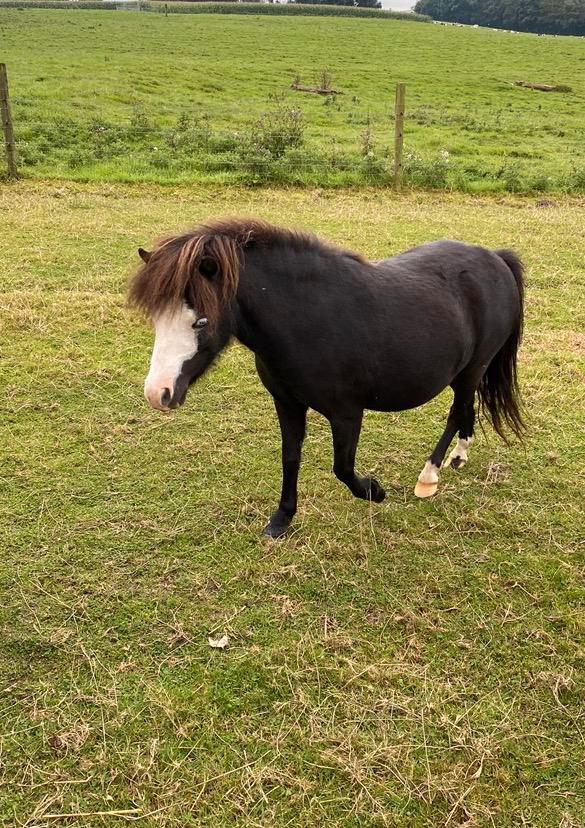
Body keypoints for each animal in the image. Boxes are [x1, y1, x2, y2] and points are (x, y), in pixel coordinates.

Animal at [128, 218, 525, 538]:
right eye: (156, 317)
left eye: (201, 321)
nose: (157, 393)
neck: (308, 318)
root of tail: (495, 258)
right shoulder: (287, 404)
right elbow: (291, 457)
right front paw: (282, 519)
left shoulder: (347, 413)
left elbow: (343, 469)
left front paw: (374, 491)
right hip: (465, 373)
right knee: (467, 408)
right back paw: (458, 456)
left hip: (472, 369)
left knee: (456, 412)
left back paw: (428, 477)